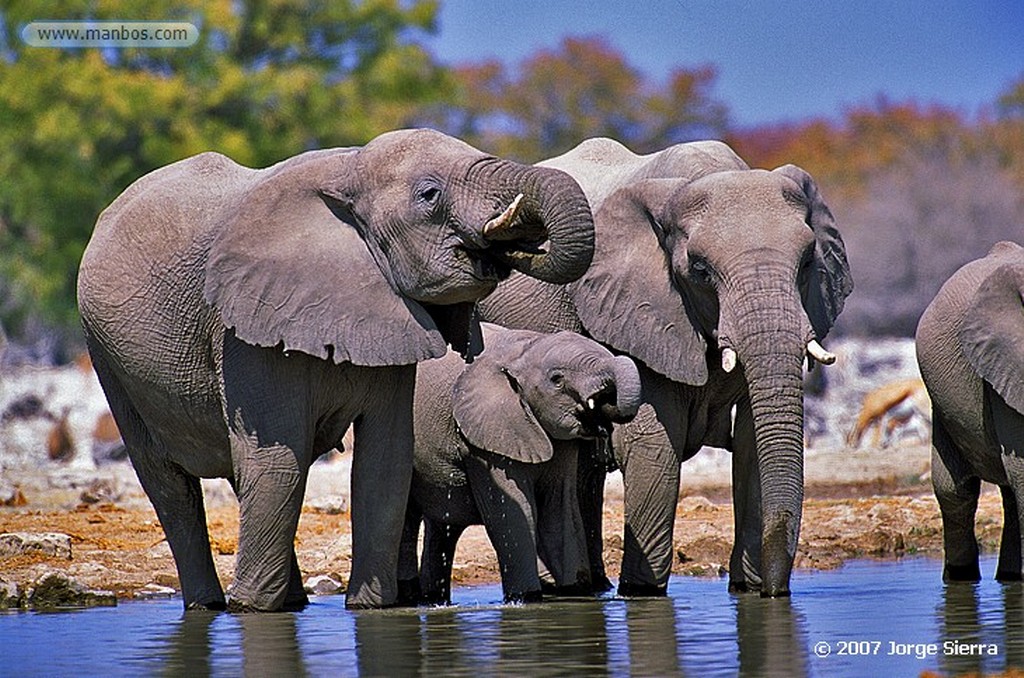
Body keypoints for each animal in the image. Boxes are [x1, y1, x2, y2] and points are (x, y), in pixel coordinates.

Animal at [75, 127, 598, 610]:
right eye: (429, 195)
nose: (518, 245)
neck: (350, 170)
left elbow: (384, 462)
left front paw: (369, 608)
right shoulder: (243, 327)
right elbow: (279, 460)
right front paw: (253, 610)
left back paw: (292, 602)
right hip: (105, 354)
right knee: (170, 484)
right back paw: (213, 605)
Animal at [399, 323, 638, 606]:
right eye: (557, 380)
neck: (524, 350)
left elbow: (561, 510)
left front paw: (574, 591)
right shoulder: (484, 441)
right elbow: (515, 514)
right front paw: (526, 598)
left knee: (444, 527)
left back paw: (433, 600)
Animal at [483, 138, 851, 602]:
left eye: (806, 264)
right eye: (700, 270)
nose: (776, 592)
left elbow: (754, 440)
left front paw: (748, 590)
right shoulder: (636, 312)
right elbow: (653, 444)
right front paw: (641, 593)